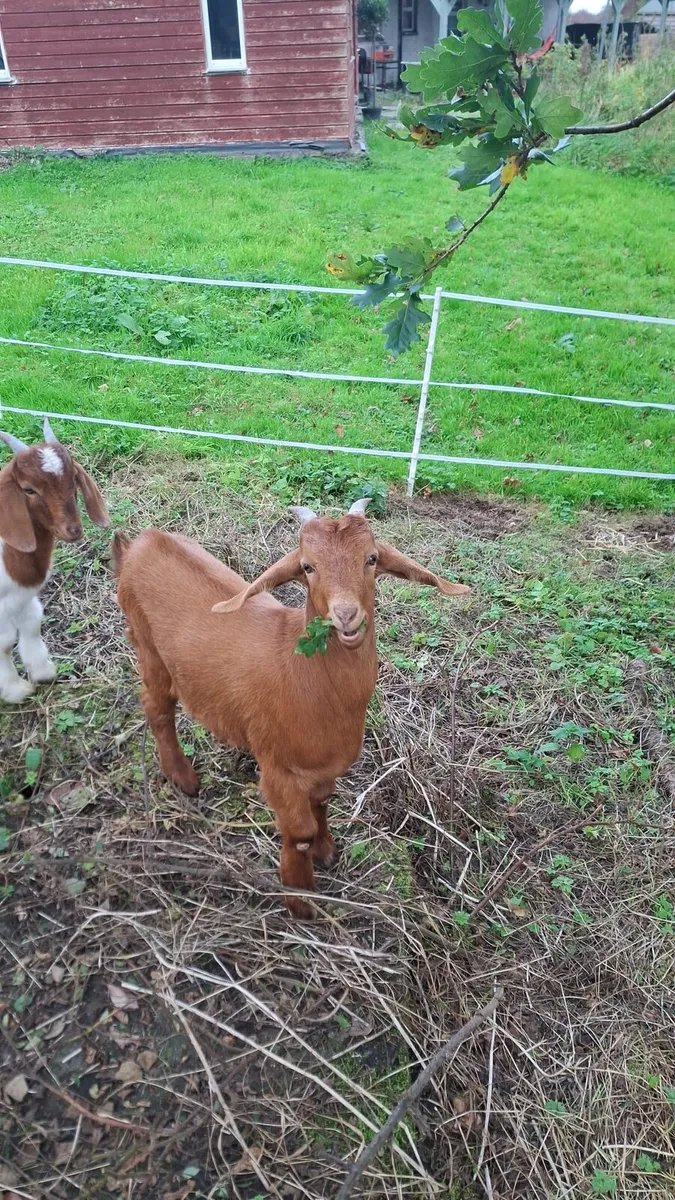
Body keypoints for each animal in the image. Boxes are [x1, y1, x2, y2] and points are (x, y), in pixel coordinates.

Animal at [0, 419, 110, 703]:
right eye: (28, 489)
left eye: (73, 478)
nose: (73, 529)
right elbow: (4, 643)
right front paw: (15, 690)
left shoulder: (21, 595)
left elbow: (32, 621)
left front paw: (42, 672)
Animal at [113, 501, 470, 917]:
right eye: (307, 566)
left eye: (371, 558)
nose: (346, 615)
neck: (303, 674)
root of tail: (139, 543)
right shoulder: (278, 769)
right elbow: (299, 832)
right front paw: (300, 899)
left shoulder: (324, 768)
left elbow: (321, 804)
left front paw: (326, 851)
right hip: (148, 648)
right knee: (157, 707)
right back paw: (182, 777)